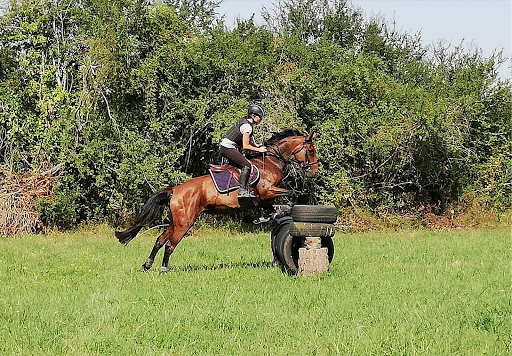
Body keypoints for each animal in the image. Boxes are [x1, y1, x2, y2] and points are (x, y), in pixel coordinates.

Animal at [114, 130, 318, 272]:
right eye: (311, 150)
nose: (313, 172)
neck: (269, 162)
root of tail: (175, 190)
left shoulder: (263, 198)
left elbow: (273, 205)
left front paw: (267, 216)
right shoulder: (266, 191)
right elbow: (292, 194)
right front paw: (280, 211)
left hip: (175, 221)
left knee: (159, 240)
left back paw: (147, 265)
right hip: (185, 222)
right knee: (170, 244)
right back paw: (163, 269)